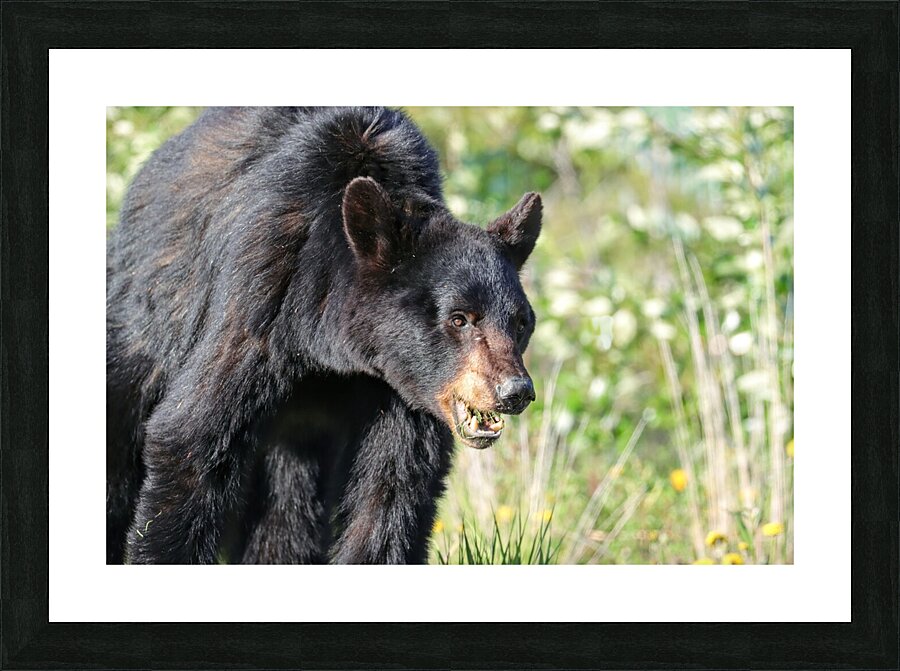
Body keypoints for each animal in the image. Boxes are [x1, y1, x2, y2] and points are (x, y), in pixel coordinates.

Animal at [106, 107, 542, 564]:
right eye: (459, 318)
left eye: (520, 322)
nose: (515, 391)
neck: (330, 349)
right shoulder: (261, 300)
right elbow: (191, 437)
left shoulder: (399, 387)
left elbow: (393, 489)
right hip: (143, 328)